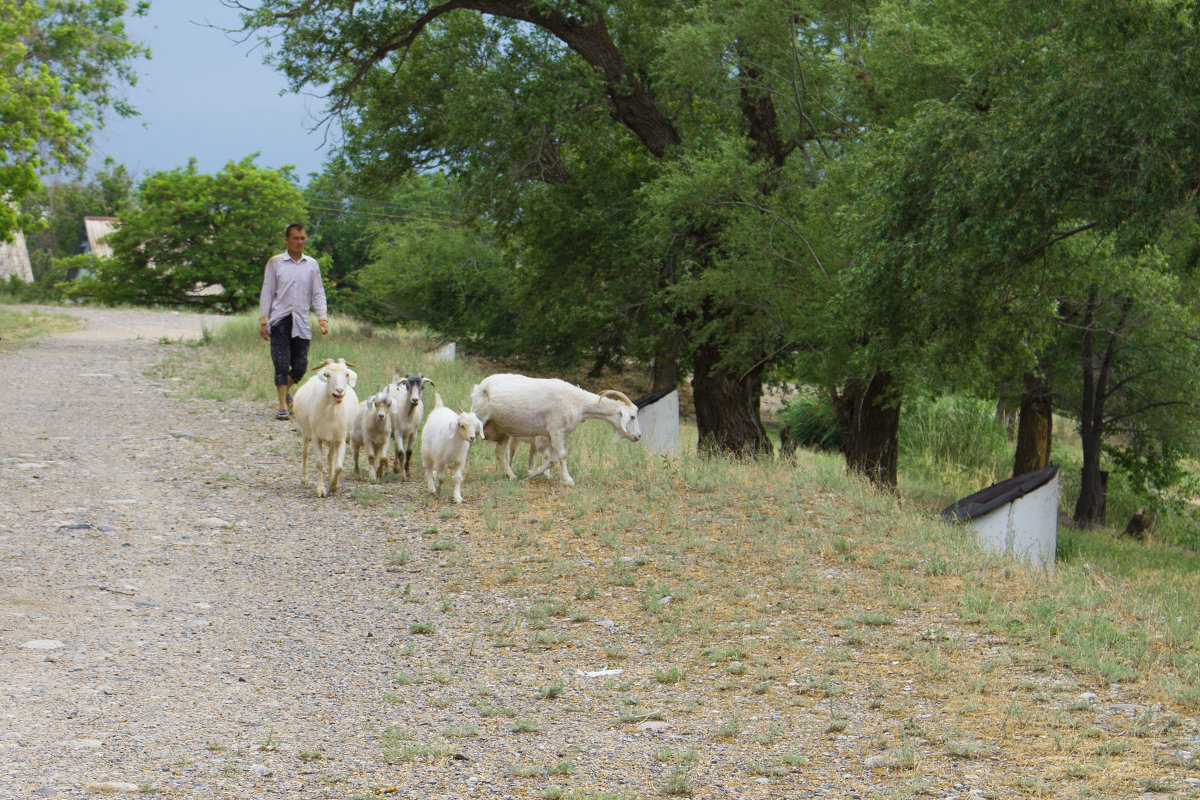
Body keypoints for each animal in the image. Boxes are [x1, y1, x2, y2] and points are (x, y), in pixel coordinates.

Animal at [468, 371, 643, 484]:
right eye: (632, 417)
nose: (639, 436)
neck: (580, 403)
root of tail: (479, 387)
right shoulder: (556, 431)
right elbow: (563, 456)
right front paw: (568, 480)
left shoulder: (551, 434)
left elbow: (552, 459)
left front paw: (533, 474)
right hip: (479, 419)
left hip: (503, 429)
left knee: (499, 453)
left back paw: (511, 476)